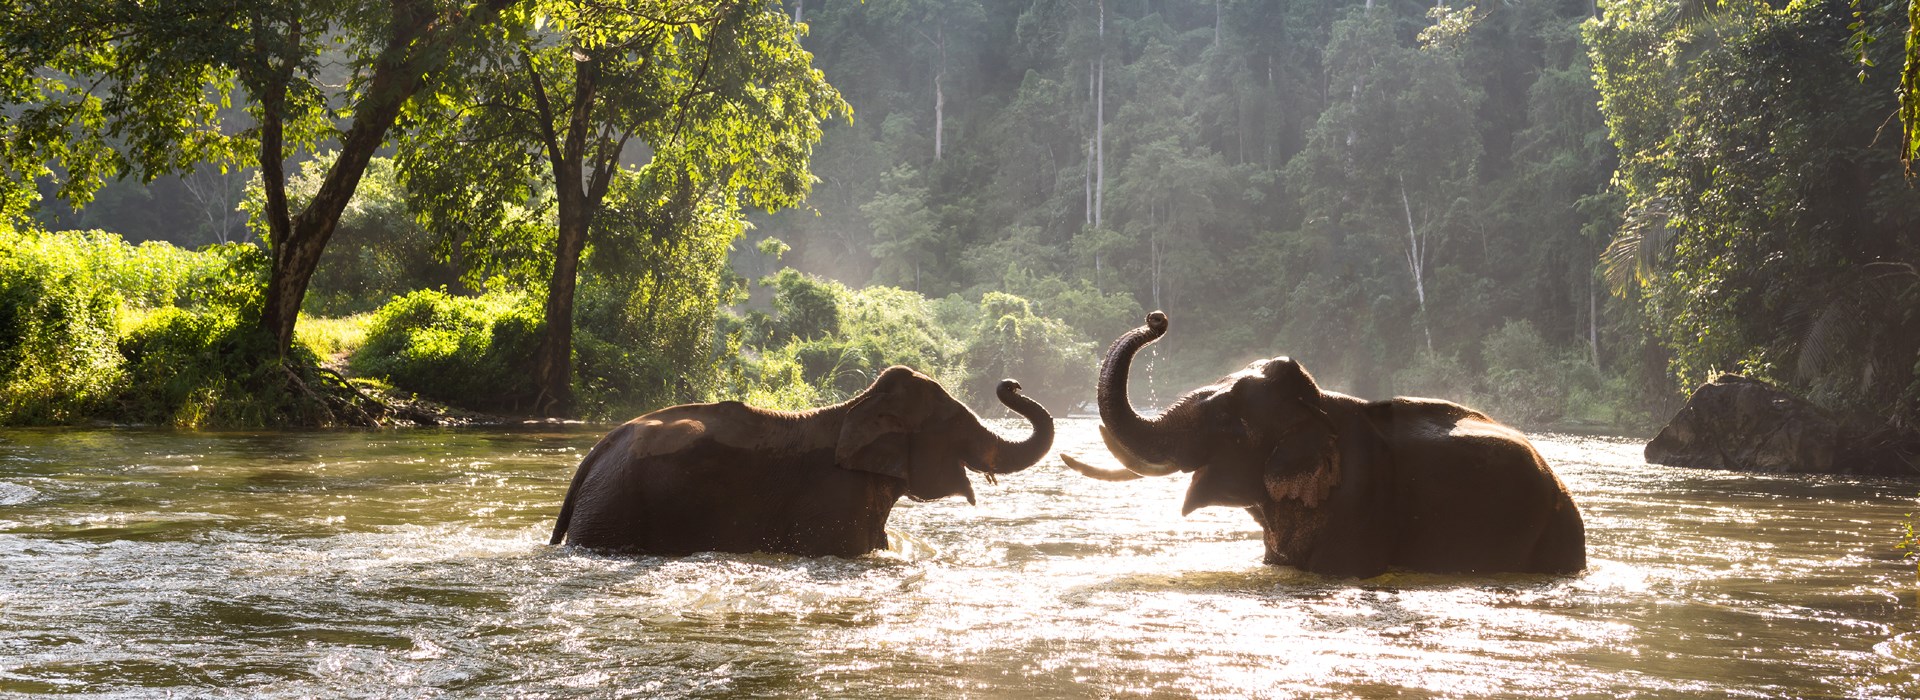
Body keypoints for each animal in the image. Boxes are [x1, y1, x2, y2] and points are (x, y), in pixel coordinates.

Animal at [549, 366, 1052, 556]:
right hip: (614, 511)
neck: (856, 406)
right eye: (953, 422)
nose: (1012, 383)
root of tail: (596, 452)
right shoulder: (833, 502)